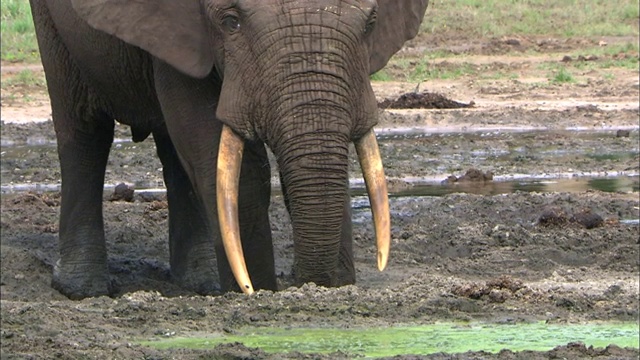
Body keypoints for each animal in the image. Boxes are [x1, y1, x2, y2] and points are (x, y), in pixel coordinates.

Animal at [31, 0, 430, 300]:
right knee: (84, 133)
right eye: (230, 22)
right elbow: (226, 158)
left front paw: (335, 288)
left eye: (371, 23)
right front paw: (255, 290)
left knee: (174, 154)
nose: (312, 283)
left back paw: (202, 284)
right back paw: (83, 289)